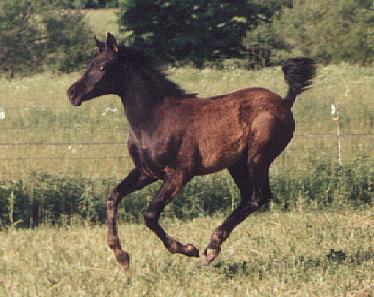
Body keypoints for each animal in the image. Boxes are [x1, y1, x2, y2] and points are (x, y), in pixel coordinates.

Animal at [66, 33, 316, 270]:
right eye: (90, 64)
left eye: (102, 67)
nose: (72, 93)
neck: (154, 117)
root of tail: (284, 102)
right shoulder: (146, 172)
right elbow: (114, 196)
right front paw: (121, 256)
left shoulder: (179, 174)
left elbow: (150, 214)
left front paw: (186, 248)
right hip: (237, 165)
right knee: (249, 197)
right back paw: (212, 247)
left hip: (257, 159)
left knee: (258, 197)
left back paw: (209, 250)